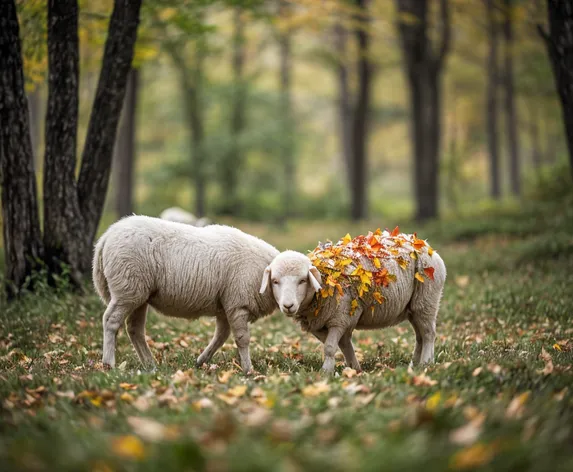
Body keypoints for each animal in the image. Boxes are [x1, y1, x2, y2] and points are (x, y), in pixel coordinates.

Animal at [92, 214, 280, 372]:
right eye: (276, 280)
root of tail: (107, 236)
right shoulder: (238, 303)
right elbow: (242, 338)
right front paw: (248, 370)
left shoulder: (226, 306)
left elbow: (221, 336)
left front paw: (201, 361)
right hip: (127, 288)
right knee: (111, 321)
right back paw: (109, 363)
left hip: (139, 294)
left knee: (134, 329)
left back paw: (150, 364)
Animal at [260, 227, 446, 374]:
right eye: (275, 281)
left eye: (302, 280)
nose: (288, 306)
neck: (326, 282)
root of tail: (426, 246)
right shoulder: (320, 324)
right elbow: (343, 345)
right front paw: (354, 368)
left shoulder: (340, 317)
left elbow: (330, 347)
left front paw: (326, 372)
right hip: (414, 307)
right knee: (420, 336)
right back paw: (414, 364)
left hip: (427, 299)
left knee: (428, 333)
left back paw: (426, 363)